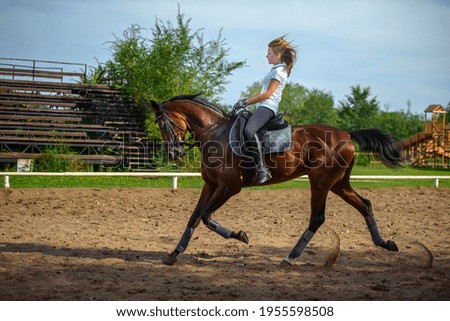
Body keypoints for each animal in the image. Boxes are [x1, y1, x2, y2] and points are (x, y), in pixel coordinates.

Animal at [148, 94, 400, 264]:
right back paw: (385, 243)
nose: (173, 153)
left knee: (317, 218)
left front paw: (240, 235)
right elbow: (194, 218)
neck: (216, 135)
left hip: (320, 183)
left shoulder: (229, 187)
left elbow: (206, 216)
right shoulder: (210, 185)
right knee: (365, 205)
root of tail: (347, 134)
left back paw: (290, 257)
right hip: (338, 184)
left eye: (163, 124)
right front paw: (174, 254)